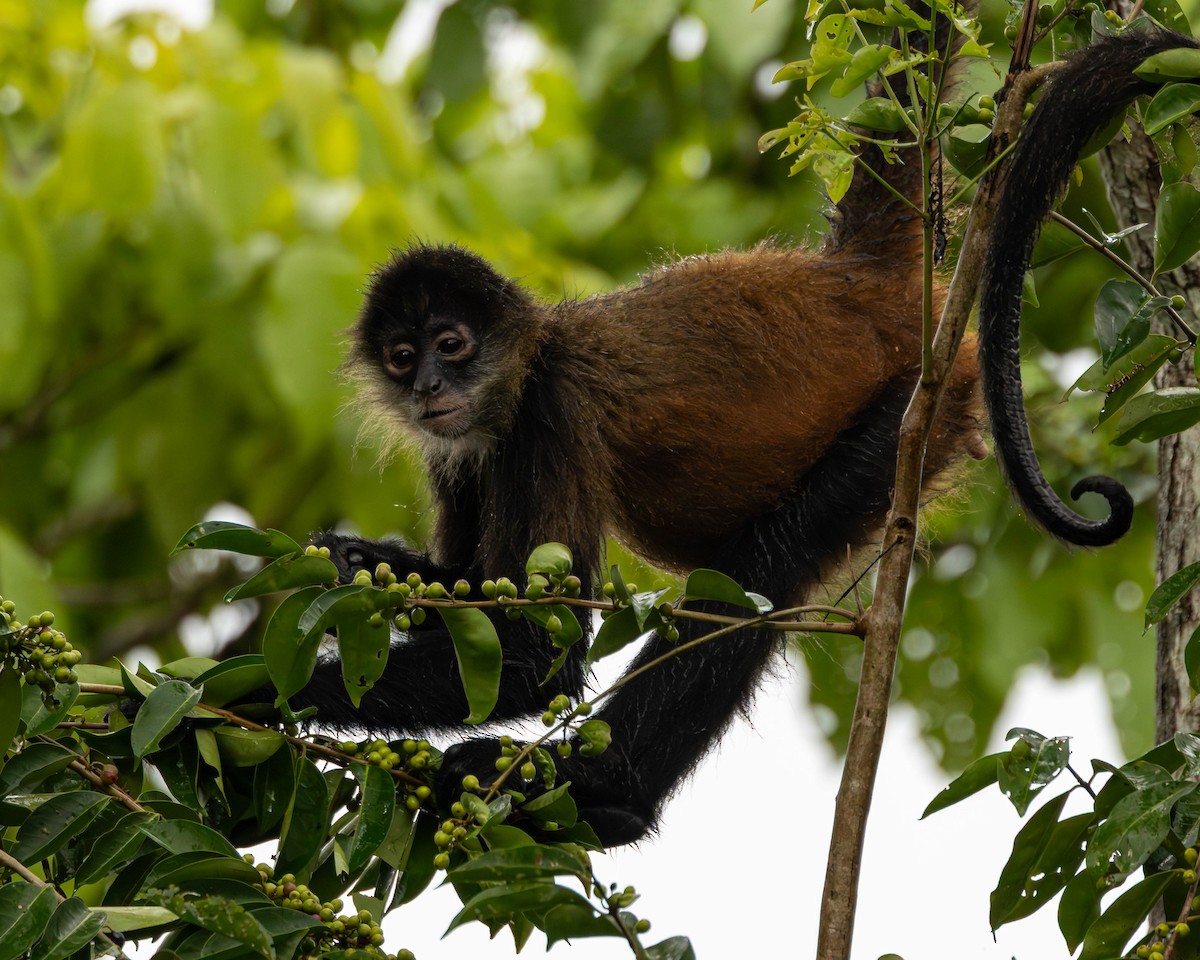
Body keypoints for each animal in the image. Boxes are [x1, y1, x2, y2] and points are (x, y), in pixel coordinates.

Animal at [285, 24, 1195, 846]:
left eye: (452, 345)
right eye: (402, 358)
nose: (430, 389)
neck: (517, 374)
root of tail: (850, 280)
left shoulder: (548, 414)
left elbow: (534, 657)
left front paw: (266, 692)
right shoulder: (461, 449)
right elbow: (469, 595)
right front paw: (362, 564)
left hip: (917, 409)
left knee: (759, 571)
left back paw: (605, 794)